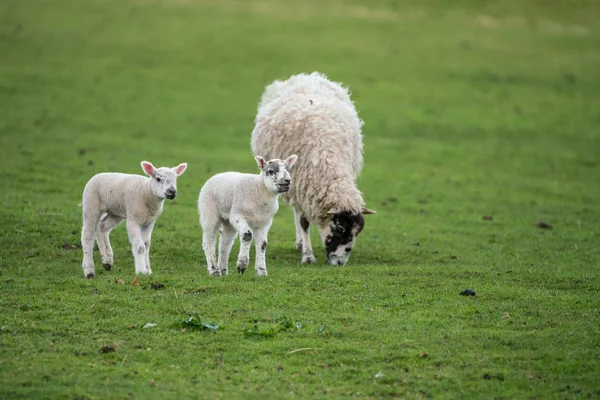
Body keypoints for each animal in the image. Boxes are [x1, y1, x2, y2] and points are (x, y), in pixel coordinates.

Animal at [250, 72, 376, 266]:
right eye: (340, 228)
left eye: (358, 232)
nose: (340, 263)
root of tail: (305, 76)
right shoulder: (299, 187)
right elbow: (303, 222)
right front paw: (308, 256)